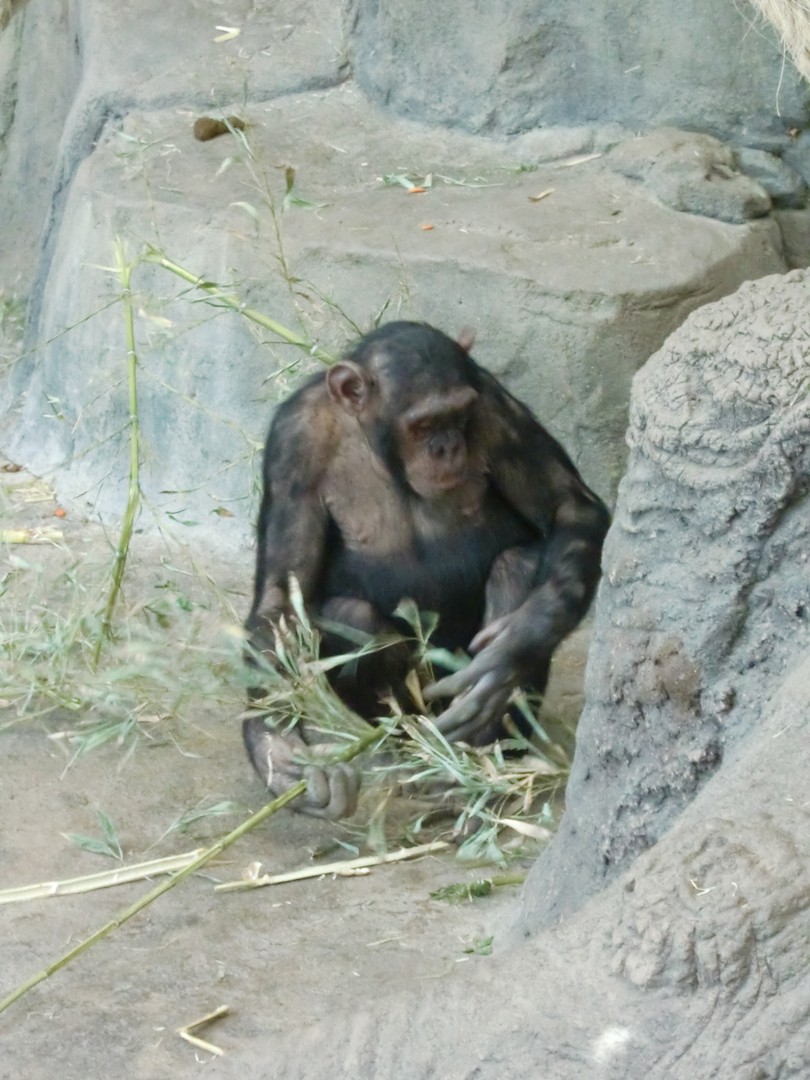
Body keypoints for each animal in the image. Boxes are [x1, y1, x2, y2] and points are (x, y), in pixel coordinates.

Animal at [244, 319, 613, 816]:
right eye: (422, 425)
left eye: (458, 414)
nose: (447, 446)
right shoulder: (293, 445)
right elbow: (281, 601)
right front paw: (280, 757)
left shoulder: (494, 406)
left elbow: (569, 506)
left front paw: (514, 650)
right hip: (418, 707)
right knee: (351, 619)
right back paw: (424, 754)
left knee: (517, 564)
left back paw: (480, 761)